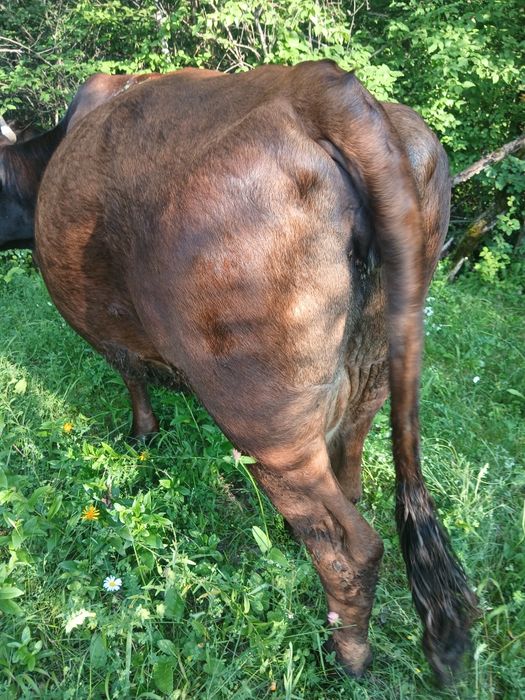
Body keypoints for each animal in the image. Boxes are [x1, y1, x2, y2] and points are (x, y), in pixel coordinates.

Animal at [35, 60, 477, 683]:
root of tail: (320, 85)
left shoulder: (110, 333)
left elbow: (131, 377)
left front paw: (143, 435)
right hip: (369, 369)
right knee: (350, 472)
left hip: (266, 418)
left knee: (354, 545)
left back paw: (348, 653)